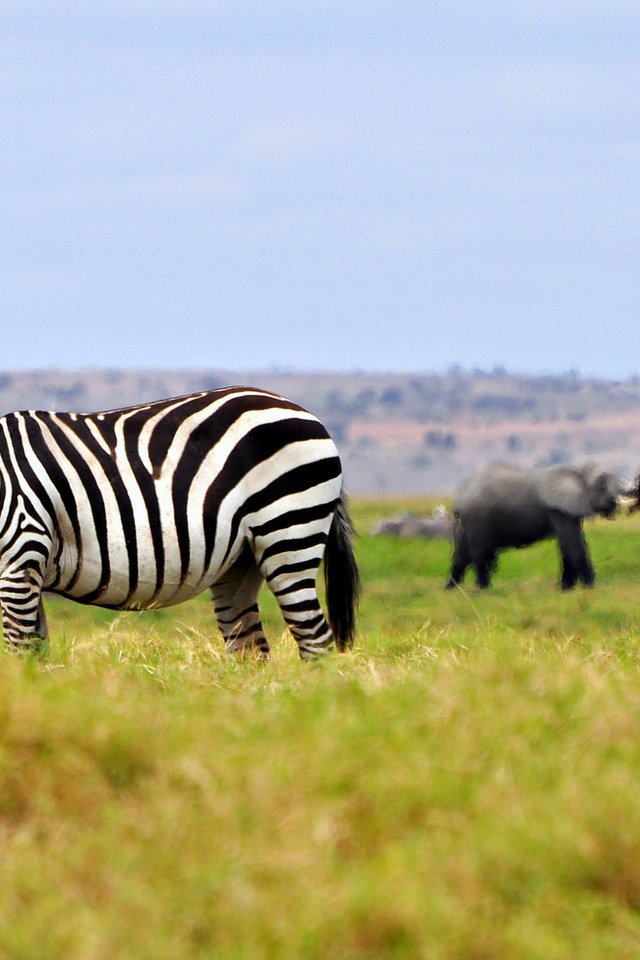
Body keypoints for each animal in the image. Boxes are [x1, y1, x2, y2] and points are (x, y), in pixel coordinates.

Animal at [0, 386, 360, 656]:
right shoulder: (29, 568)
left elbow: (17, 654)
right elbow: (36, 655)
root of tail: (302, 411)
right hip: (242, 559)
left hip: (289, 533)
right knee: (249, 647)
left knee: (315, 639)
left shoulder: (20, 558)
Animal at [444, 462, 624, 588]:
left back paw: (451, 590)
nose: (614, 505)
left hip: (464, 525)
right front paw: (590, 588)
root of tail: (460, 500)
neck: (576, 471)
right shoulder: (559, 510)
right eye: (601, 484)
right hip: (478, 519)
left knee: (461, 556)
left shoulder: (570, 510)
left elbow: (567, 548)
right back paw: (485, 589)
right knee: (479, 554)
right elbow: (573, 547)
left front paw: (566, 590)